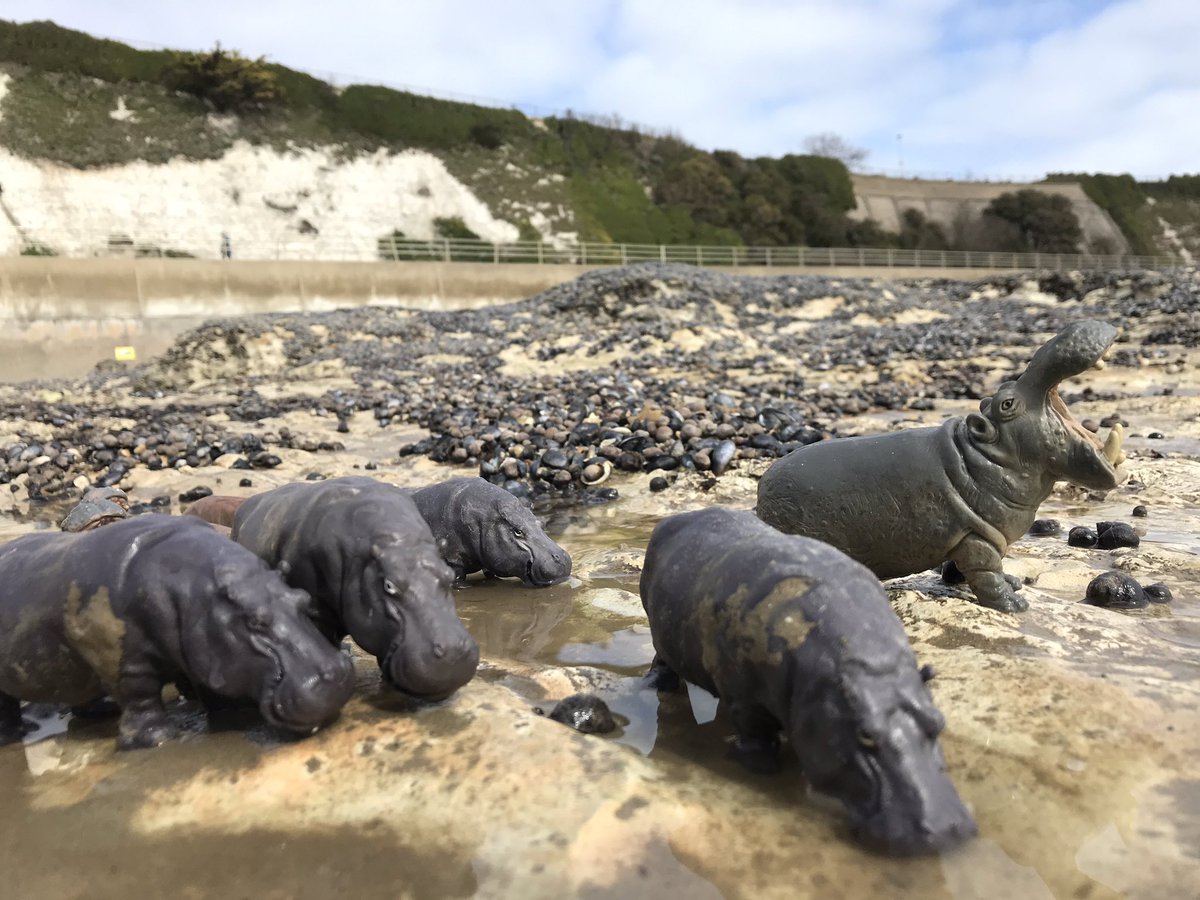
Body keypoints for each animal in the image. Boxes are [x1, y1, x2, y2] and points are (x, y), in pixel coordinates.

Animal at [0, 516, 355, 750]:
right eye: (255, 622)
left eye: (303, 599)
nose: (335, 676)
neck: (193, 593)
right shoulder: (122, 660)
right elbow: (140, 696)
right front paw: (158, 739)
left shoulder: (206, 651)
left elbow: (212, 685)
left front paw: (236, 715)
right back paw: (15, 736)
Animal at [640, 507, 976, 856]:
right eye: (865, 734)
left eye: (938, 721)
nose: (946, 829)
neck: (867, 665)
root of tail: (676, 518)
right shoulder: (746, 701)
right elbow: (755, 738)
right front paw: (762, 768)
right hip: (658, 631)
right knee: (661, 661)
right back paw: (654, 686)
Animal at [757, 320, 1126, 612]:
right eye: (1007, 403)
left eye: (1003, 392)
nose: (1070, 329)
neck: (984, 457)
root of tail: (760, 497)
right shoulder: (977, 538)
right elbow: (987, 574)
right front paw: (1015, 605)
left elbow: (989, 569)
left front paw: (1013, 583)